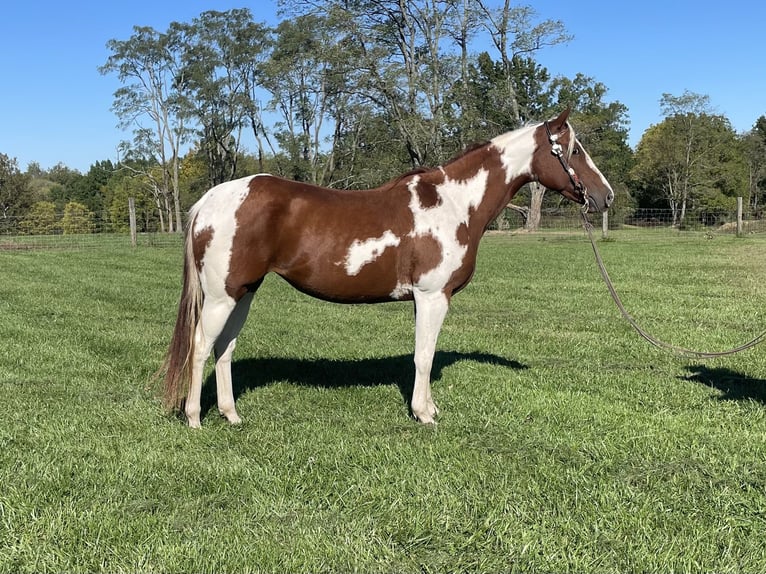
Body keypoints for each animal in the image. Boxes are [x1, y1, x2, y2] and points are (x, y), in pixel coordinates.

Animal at [162, 110, 616, 430]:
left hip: (244, 291)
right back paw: (195, 418)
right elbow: (424, 356)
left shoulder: (422, 299)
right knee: (201, 346)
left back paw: (231, 415)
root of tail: (210, 200)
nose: (606, 196)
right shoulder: (433, 297)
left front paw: (428, 407)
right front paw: (424, 414)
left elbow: (422, 354)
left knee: (225, 348)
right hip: (221, 296)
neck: (455, 204)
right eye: (575, 151)